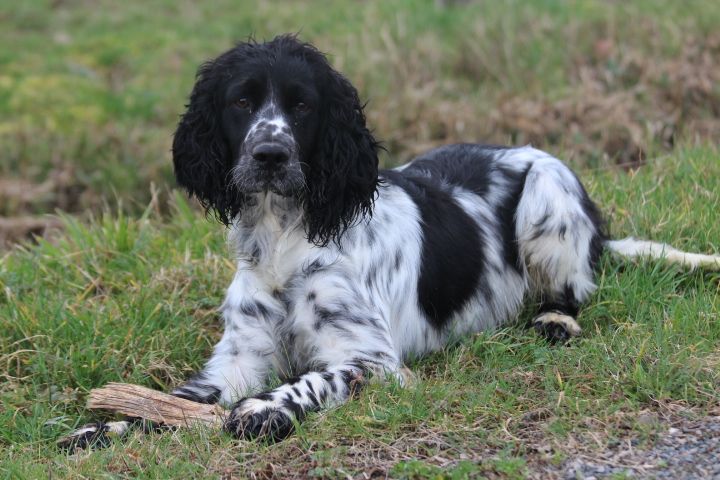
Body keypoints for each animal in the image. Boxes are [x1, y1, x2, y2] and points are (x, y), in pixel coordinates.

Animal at [63, 34, 720, 450]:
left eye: (303, 106)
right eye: (241, 101)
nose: (270, 155)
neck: (285, 236)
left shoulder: (373, 361)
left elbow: (313, 381)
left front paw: (267, 409)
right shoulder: (240, 358)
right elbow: (176, 398)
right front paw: (107, 428)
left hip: (548, 193)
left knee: (574, 289)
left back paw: (555, 321)